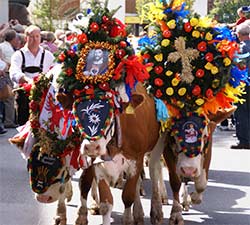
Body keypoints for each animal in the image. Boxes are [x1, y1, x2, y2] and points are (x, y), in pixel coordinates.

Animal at [139, 0, 248, 224]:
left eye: (205, 136)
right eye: (174, 135)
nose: (188, 169)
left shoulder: (208, 149)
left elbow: (201, 182)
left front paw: (193, 197)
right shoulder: (168, 147)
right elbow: (174, 179)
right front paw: (176, 213)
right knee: (155, 168)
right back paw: (159, 201)